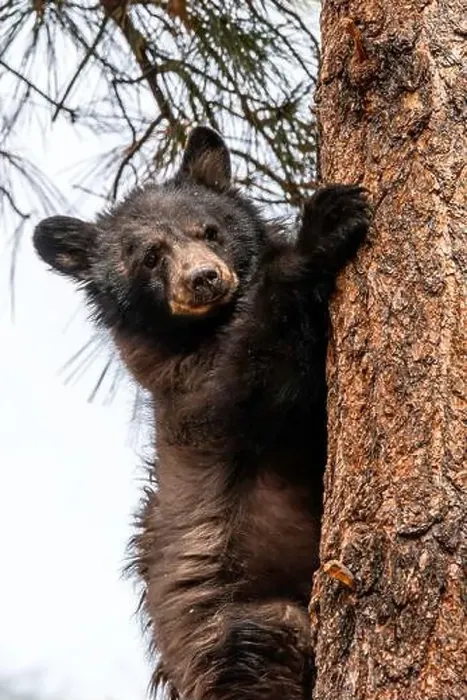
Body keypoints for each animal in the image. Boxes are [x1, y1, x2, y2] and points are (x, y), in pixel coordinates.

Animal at [33, 126, 370, 700]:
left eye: (210, 231)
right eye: (150, 256)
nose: (205, 278)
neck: (205, 328)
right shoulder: (188, 393)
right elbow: (253, 380)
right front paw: (320, 230)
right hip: (231, 630)